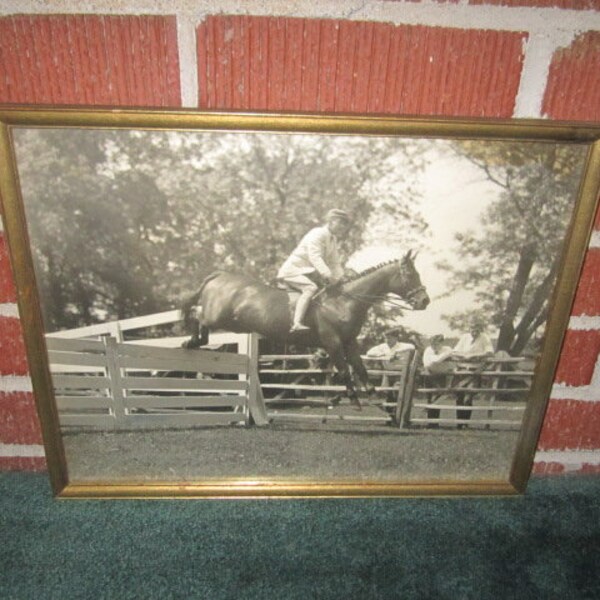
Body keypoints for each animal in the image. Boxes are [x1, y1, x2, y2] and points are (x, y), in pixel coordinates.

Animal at [180, 251, 428, 410]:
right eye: (410, 275)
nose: (424, 301)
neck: (345, 302)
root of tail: (220, 275)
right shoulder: (333, 342)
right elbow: (344, 370)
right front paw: (353, 399)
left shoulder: (350, 342)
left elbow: (360, 368)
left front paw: (373, 396)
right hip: (217, 316)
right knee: (197, 314)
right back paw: (190, 340)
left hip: (233, 323)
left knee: (200, 322)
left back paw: (194, 342)